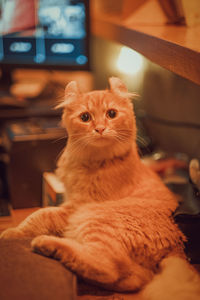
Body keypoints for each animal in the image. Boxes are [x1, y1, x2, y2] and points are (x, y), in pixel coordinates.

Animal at [0, 78, 199, 298]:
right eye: (85, 117)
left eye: (111, 114)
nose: (100, 129)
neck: (93, 161)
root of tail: (178, 247)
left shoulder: (77, 206)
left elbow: (40, 215)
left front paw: (11, 232)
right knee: (129, 277)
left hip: (96, 218)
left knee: (105, 266)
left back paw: (48, 244)